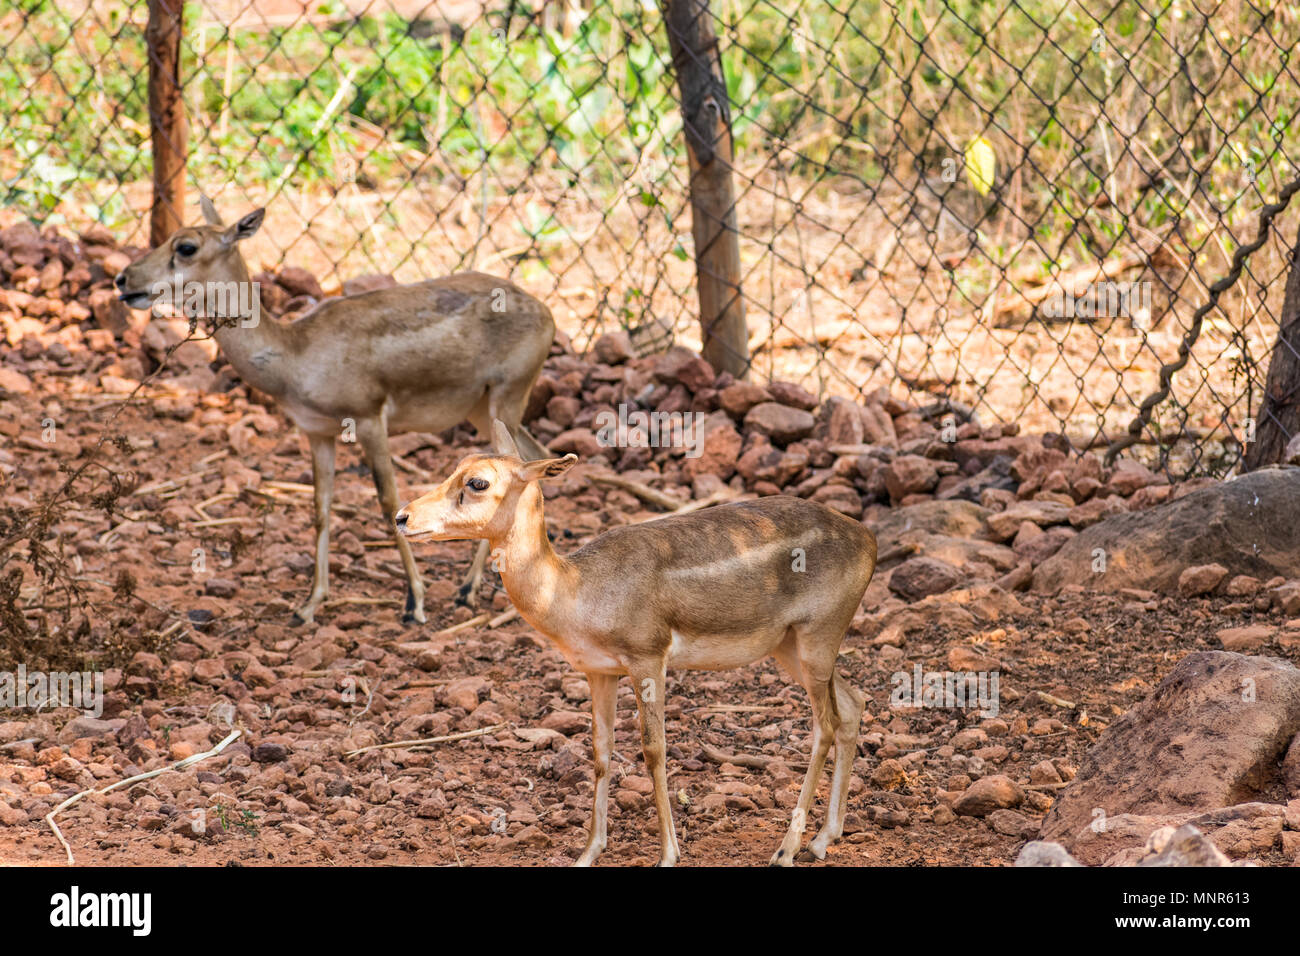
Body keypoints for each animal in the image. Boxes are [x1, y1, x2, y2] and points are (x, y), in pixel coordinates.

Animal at [114, 197, 554, 625]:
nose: (123, 280)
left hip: (506, 397)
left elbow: (388, 501)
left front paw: (414, 602)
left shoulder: (369, 419)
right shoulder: (317, 432)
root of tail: (546, 313)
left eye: (187, 246)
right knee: (533, 456)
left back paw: (466, 589)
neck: (296, 355)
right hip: (483, 409)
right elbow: (320, 508)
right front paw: (308, 605)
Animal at [394, 420, 878, 866]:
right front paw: (588, 852)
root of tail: (868, 539)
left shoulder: (648, 656)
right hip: (790, 646)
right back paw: (823, 838)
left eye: (478, 482)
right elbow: (601, 750)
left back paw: (786, 849)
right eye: (455, 466)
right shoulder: (599, 671)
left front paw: (668, 854)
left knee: (826, 724)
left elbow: (653, 750)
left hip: (818, 636)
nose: (403, 517)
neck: (577, 590)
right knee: (853, 703)